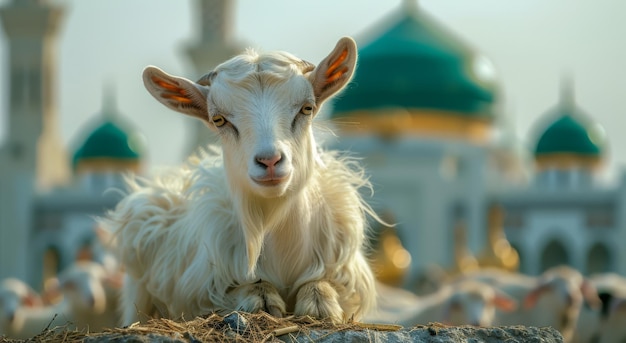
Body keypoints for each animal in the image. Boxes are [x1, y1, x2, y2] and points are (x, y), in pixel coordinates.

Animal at [100, 37, 378, 326]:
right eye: (218, 119)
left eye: (307, 108)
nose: (270, 161)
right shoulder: (197, 287)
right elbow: (243, 289)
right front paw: (261, 297)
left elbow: (323, 284)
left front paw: (319, 301)